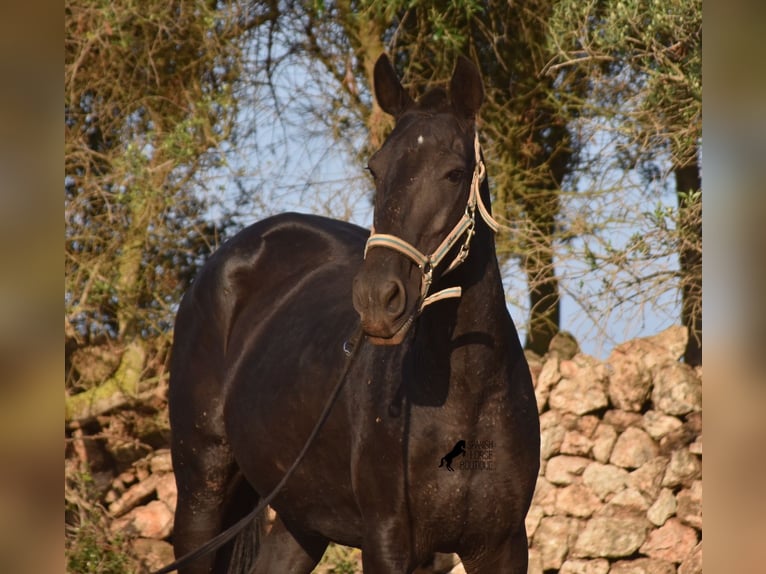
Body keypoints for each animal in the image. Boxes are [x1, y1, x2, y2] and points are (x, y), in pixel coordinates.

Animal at [168, 54, 540, 574]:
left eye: (453, 173)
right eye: (375, 169)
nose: (376, 298)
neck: (470, 396)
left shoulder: (501, 546)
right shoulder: (386, 541)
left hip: (301, 519)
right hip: (201, 491)